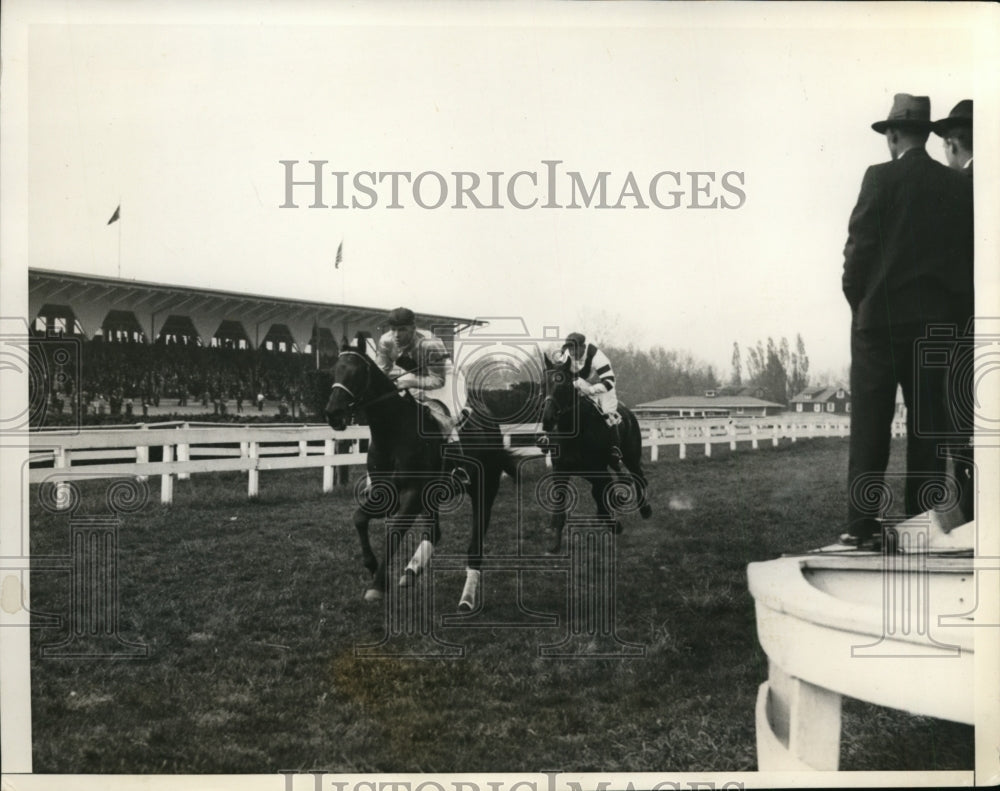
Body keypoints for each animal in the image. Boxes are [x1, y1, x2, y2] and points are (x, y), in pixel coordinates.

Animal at [328, 352, 512, 612]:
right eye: (335, 370)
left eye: (356, 373)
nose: (332, 413)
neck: (394, 433)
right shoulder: (386, 493)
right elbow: (359, 518)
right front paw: (373, 566)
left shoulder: (413, 494)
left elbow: (394, 531)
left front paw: (377, 585)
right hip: (433, 497)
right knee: (434, 533)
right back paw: (411, 571)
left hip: (485, 490)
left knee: (475, 547)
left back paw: (466, 598)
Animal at [544, 358, 652, 552]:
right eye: (544, 384)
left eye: (564, 385)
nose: (547, 419)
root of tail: (628, 412)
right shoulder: (562, 470)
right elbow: (562, 505)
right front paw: (554, 542)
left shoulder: (597, 468)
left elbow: (603, 489)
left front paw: (614, 522)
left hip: (631, 457)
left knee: (637, 476)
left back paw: (645, 509)